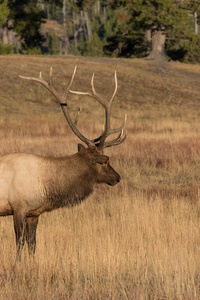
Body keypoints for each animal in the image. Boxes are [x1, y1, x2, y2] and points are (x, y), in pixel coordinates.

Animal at [0, 66, 126, 258]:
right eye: (104, 161)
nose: (117, 177)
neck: (46, 186)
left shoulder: (34, 213)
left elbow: (32, 244)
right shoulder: (18, 207)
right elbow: (19, 244)